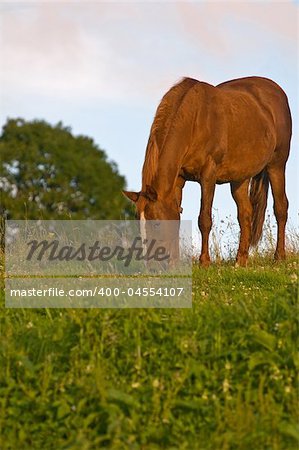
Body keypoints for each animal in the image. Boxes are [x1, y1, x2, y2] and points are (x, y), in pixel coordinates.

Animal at [124, 76, 292, 268]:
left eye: (156, 223)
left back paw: (279, 256)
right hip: (240, 179)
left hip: (277, 165)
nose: (150, 266)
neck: (194, 120)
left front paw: (204, 261)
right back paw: (240, 260)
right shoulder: (179, 180)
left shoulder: (208, 177)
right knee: (245, 214)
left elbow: (204, 219)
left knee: (281, 208)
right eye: (137, 220)